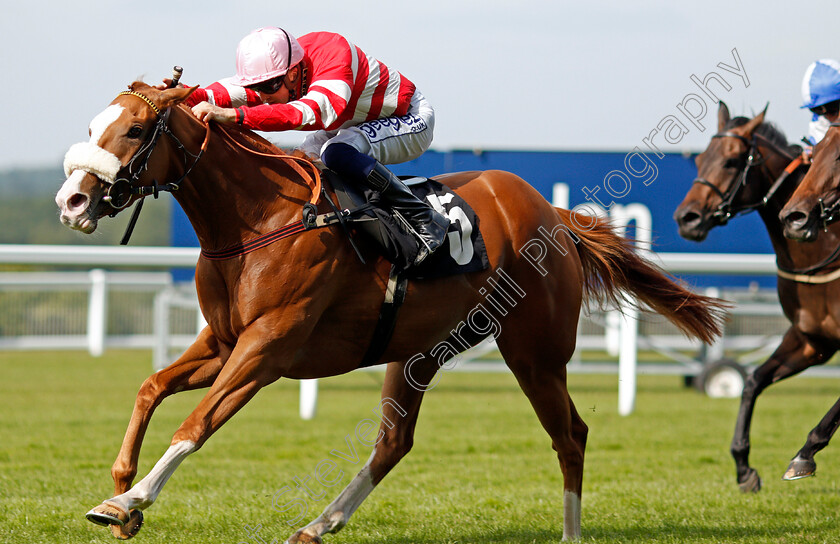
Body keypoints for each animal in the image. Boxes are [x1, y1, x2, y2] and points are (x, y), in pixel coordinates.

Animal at [55, 82, 724, 544]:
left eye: (136, 130)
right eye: (94, 123)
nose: (73, 200)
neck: (261, 219)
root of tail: (556, 216)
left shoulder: (268, 347)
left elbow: (195, 423)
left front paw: (130, 501)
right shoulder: (223, 341)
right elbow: (150, 387)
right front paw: (121, 494)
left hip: (533, 350)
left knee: (571, 434)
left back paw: (570, 533)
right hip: (419, 349)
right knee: (395, 441)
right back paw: (319, 524)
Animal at [672, 102, 840, 492]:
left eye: (732, 161)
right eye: (700, 159)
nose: (687, 218)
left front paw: (803, 456)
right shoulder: (812, 340)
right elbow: (752, 381)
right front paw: (743, 466)